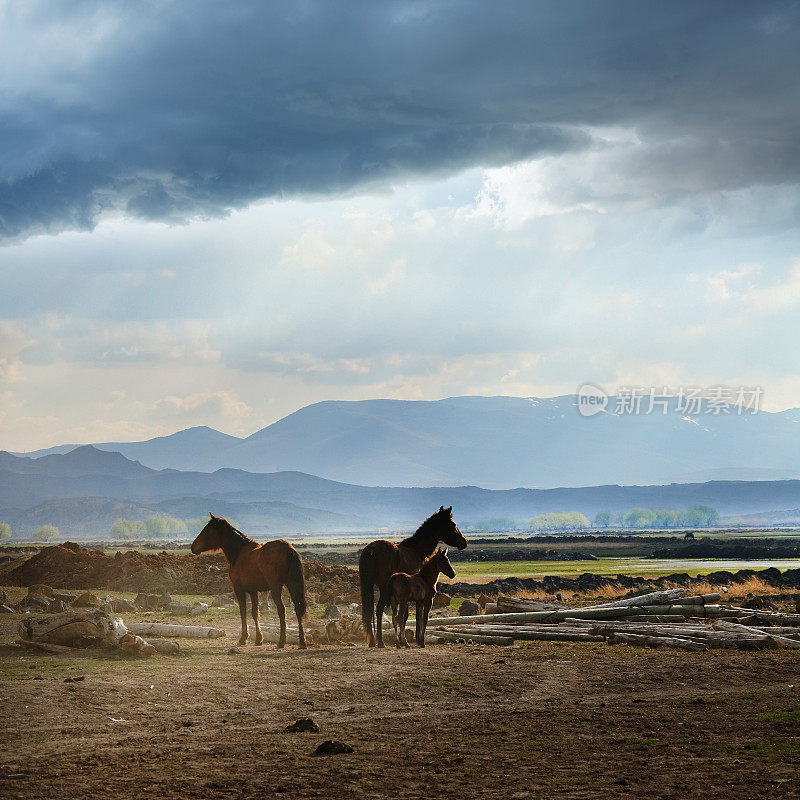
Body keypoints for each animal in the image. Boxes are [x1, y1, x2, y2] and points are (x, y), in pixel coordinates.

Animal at [191, 512, 310, 648]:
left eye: (207, 530)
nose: (193, 547)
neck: (238, 553)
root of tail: (288, 549)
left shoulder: (239, 589)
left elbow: (243, 611)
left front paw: (243, 638)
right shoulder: (253, 591)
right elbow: (254, 613)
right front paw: (258, 639)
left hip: (276, 588)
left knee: (282, 610)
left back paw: (281, 641)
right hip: (292, 585)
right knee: (298, 609)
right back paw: (302, 642)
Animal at [360, 510, 466, 648]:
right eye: (453, 525)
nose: (464, 542)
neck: (416, 551)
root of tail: (372, 549)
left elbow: (405, 617)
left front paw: (404, 640)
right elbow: (414, 617)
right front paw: (415, 639)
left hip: (369, 586)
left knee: (369, 612)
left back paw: (373, 641)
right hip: (383, 589)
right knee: (378, 610)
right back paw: (381, 642)